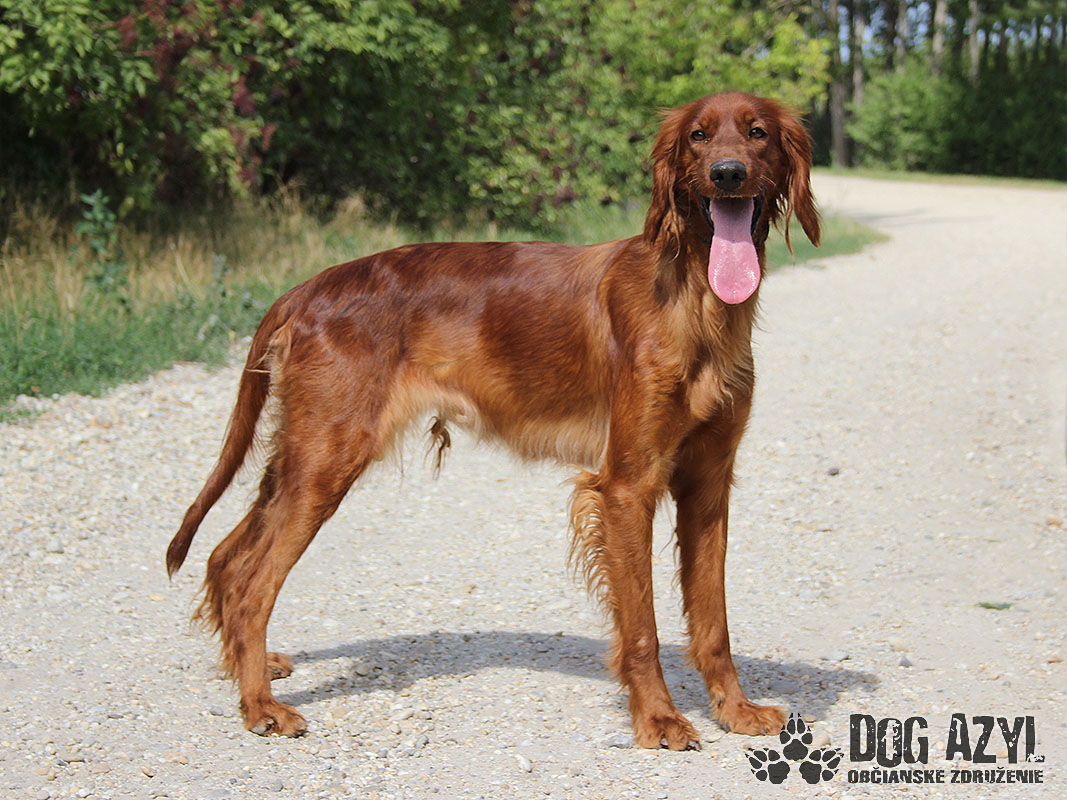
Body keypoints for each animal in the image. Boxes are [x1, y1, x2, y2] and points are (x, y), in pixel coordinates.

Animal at [167, 91, 820, 749]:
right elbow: (642, 627)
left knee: (225, 557)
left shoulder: (708, 484)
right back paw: (260, 705)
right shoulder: (627, 487)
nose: (728, 174)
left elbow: (714, 622)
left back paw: (252, 670)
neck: (695, 298)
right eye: (697, 137)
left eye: (757, 134)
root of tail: (307, 288)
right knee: (251, 582)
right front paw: (659, 719)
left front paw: (736, 710)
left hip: (302, 457)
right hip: (326, 460)